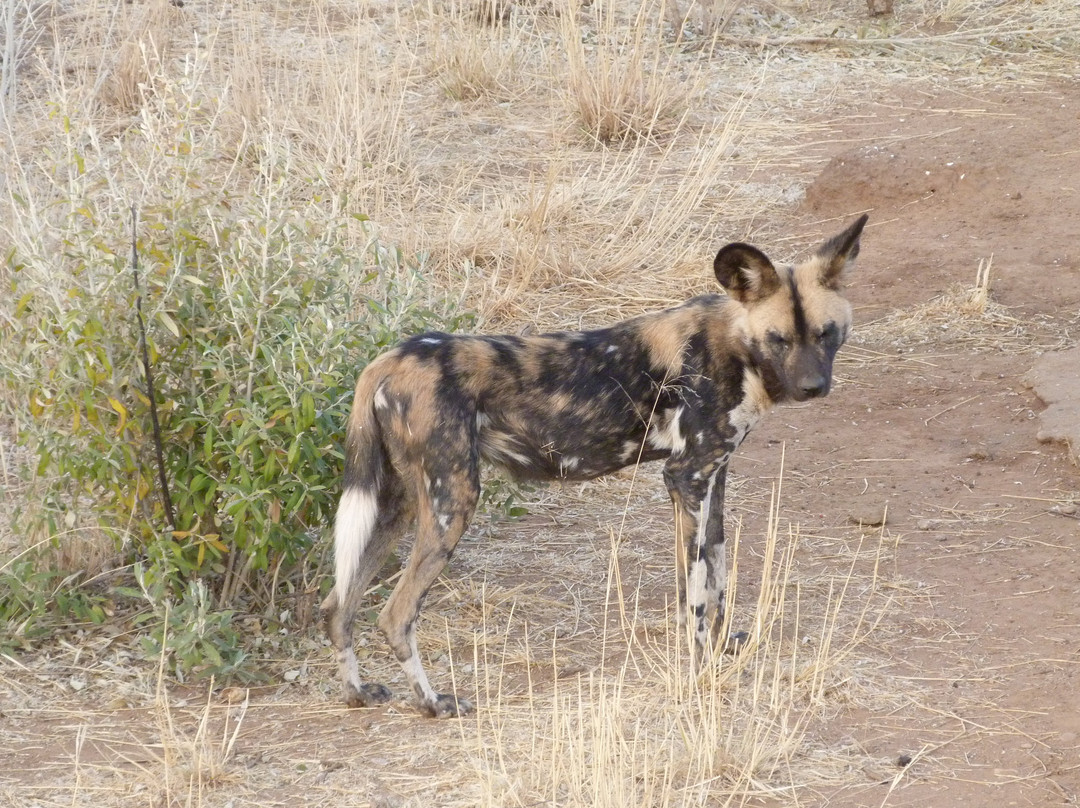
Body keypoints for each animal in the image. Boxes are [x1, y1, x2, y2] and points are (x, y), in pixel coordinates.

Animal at [319, 212, 868, 712]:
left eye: (825, 333)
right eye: (779, 339)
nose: (812, 388)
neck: (737, 347)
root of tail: (388, 359)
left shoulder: (713, 477)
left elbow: (717, 575)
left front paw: (720, 646)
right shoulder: (686, 478)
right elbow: (695, 594)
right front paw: (700, 671)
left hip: (400, 505)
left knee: (337, 604)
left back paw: (357, 693)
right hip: (453, 502)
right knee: (394, 614)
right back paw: (433, 702)